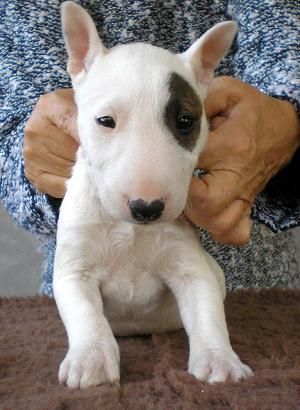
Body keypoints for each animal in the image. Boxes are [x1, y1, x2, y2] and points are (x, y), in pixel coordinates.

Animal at [54, 1, 253, 390]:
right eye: (105, 120)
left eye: (186, 121)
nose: (146, 207)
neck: (131, 230)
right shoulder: (73, 269)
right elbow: (87, 314)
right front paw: (91, 362)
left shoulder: (191, 266)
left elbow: (208, 312)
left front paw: (220, 362)